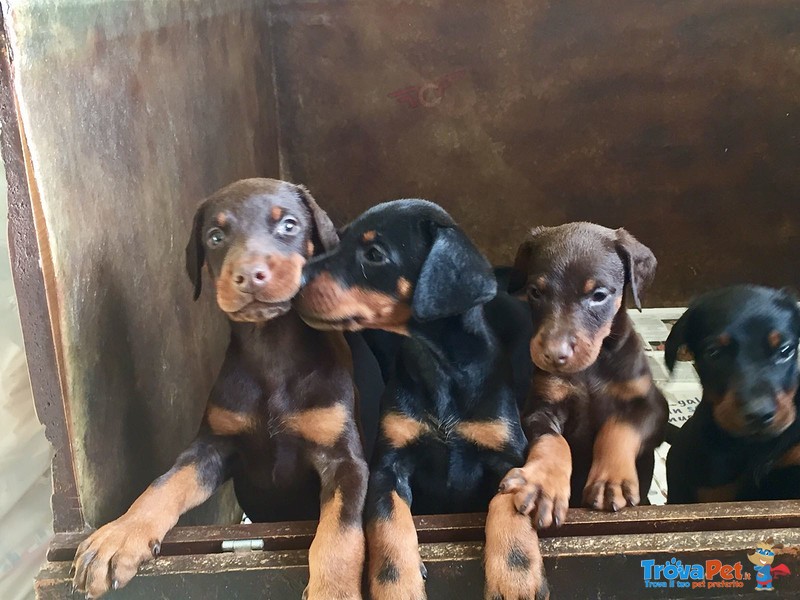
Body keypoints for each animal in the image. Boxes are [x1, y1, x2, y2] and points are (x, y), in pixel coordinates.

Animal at [70, 179, 380, 600]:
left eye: (289, 224)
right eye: (215, 236)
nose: (250, 274)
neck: (271, 351)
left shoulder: (343, 460)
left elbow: (340, 532)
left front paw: (333, 591)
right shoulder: (212, 446)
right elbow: (164, 484)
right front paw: (118, 536)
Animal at [296, 200, 552, 600]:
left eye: (375, 254)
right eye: (339, 240)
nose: (292, 281)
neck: (438, 363)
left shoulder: (508, 457)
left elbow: (508, 507)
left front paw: (515, 579)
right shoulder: (388, 466)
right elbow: (389, 524)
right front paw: (397, 585)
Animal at [500, 223, 668, 528]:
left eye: (599, 295)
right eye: (535, 292)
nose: (554, 355)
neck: (591, 369)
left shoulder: (654, 406)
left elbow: (619, 427)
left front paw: (611, 480)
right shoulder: (539, 408)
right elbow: (553, 441)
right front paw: (542, 483)